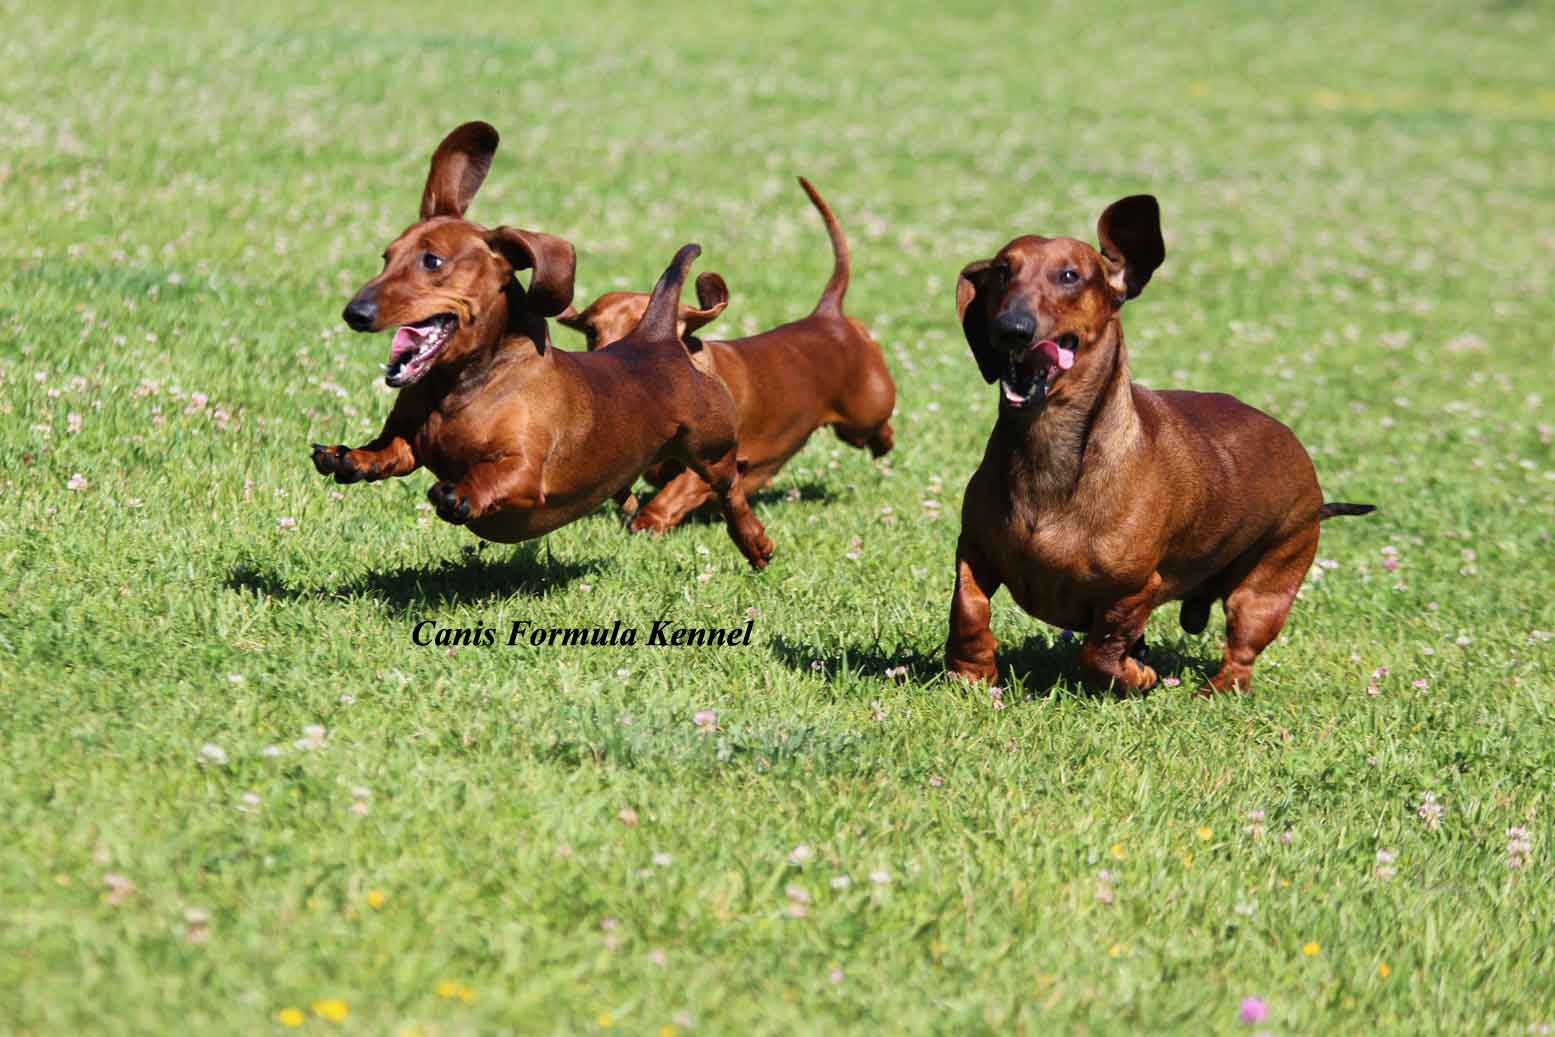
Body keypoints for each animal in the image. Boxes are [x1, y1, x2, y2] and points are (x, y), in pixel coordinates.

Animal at [312, 127, 774, 575]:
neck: (459, 388)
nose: (354, 313)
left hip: (710, 449)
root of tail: (656, 339)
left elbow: (494, 477)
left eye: (432, 261)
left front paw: (463, 493)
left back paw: (755, 542)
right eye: (386, 257)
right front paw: (349, 457)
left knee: (730, 490)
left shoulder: (525, 471)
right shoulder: (409, 443)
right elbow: (389, 451)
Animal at [559, 177, 901, 531]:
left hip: (863, 418)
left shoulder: (716, 460)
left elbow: (676, 491)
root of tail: (827, 314)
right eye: (591, 332)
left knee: (880, 432)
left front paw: (648, 521)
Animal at [945, 194, 1374, 696]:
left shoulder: (1134, 591)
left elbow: (1100, 651)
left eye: (1069, 275)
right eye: (1001, 270)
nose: (1011, 328)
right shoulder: (973, 550)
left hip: (1266, 586)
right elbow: (969, 611)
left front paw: (1138, 675)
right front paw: (973, 672)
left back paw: (1215, 691)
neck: (1047, 455)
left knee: (1241, 650)